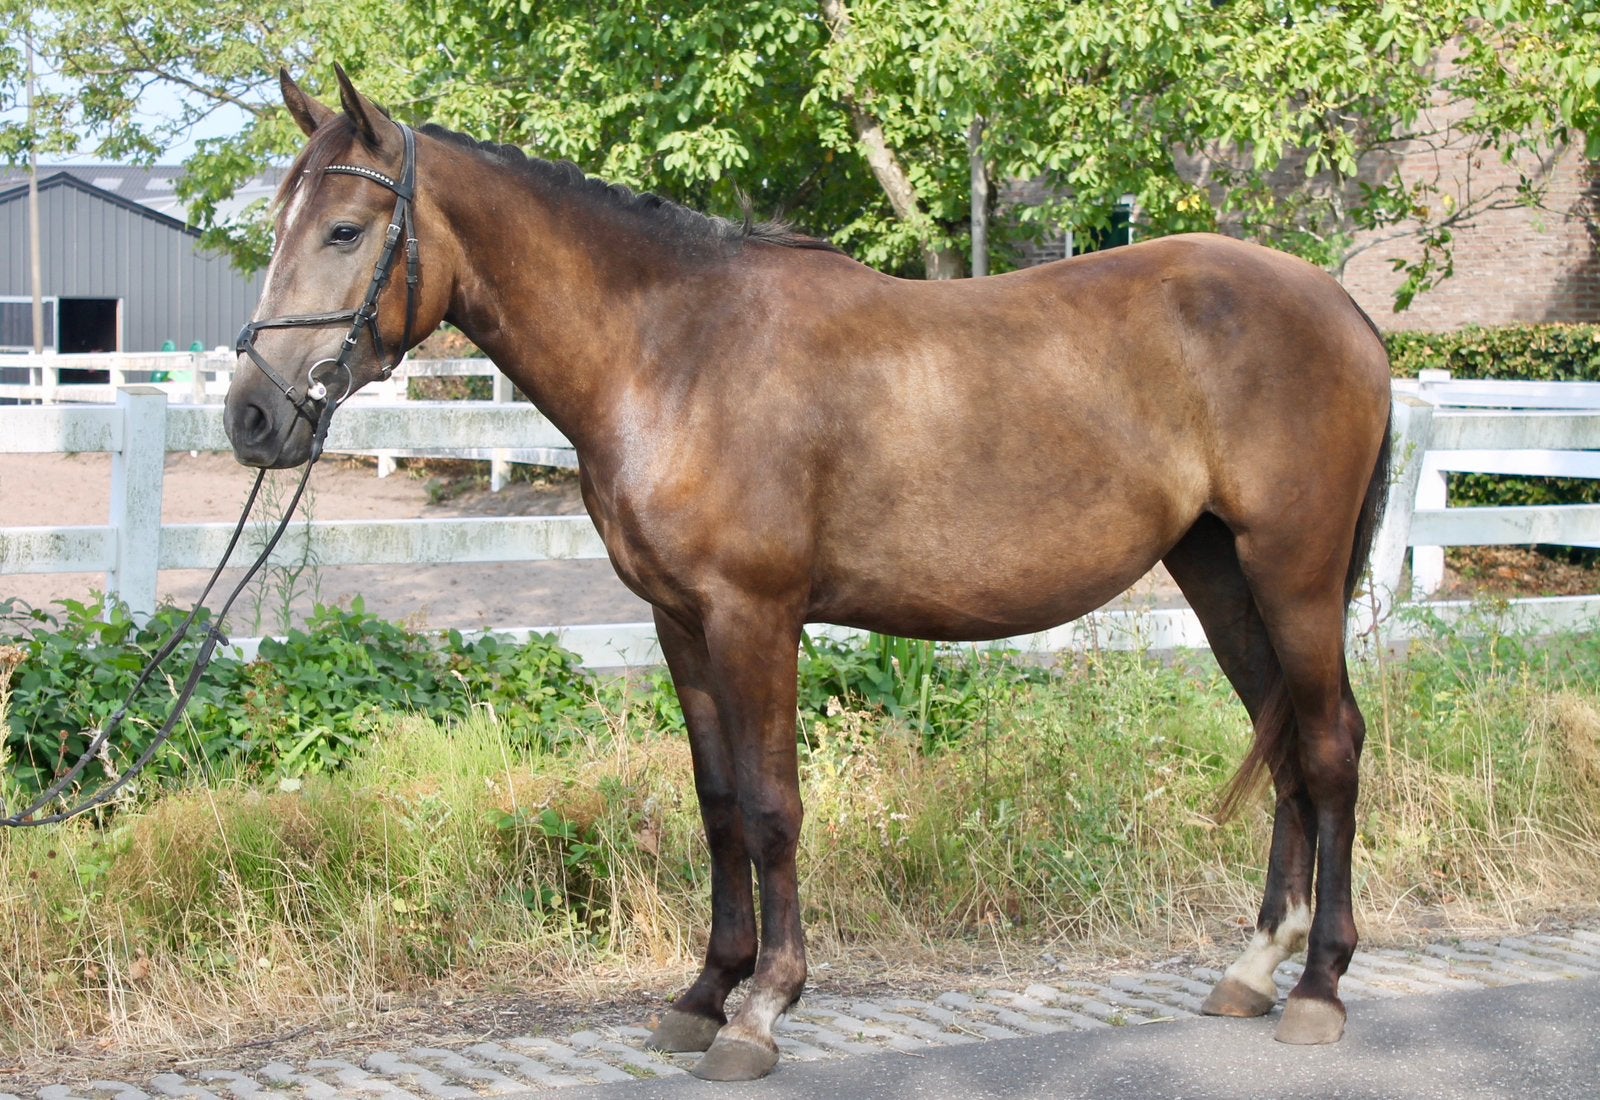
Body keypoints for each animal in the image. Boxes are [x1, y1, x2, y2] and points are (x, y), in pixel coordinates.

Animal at [225, 68, 1393, 1080]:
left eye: (343, 230)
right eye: (279, 226)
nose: (252, 417)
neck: (676, 353)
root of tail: (1338, 305)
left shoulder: (756, 616)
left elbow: (773, 805)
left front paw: (763, 1007)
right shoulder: (680, 622)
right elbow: (717, 803)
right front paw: (703, 994)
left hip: (1289, 572)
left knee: (1330, 744)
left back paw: (1318, 986)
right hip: (1218, 572)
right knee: (1289, 745)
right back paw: (1253, 967)